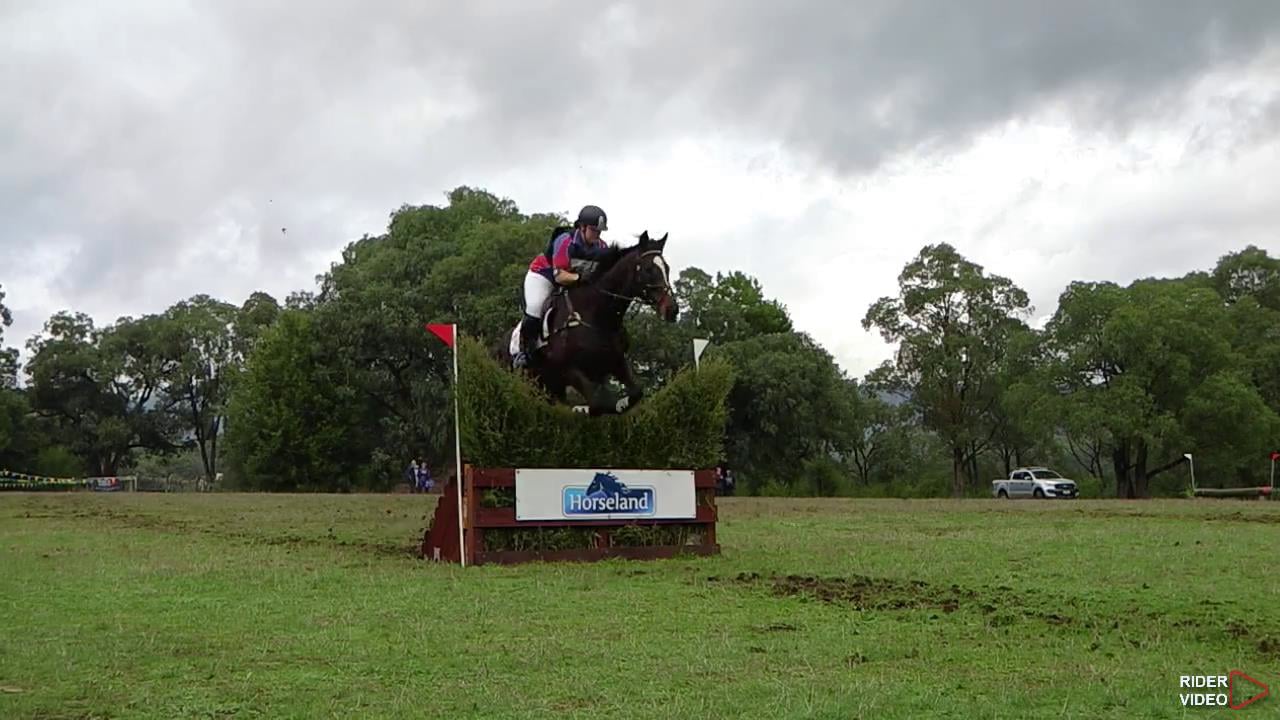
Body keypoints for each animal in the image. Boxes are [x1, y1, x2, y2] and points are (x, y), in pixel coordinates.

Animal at [496, 230, 679, 415]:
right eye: (648, 270)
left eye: (667, 268)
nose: (672, 310)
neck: (599, 316)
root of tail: (499, 344)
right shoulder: (569, 370)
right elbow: (598, 403)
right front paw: (581, 409)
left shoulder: (615, 362)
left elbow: (635, 393)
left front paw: (619, 404)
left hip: (549, 386)